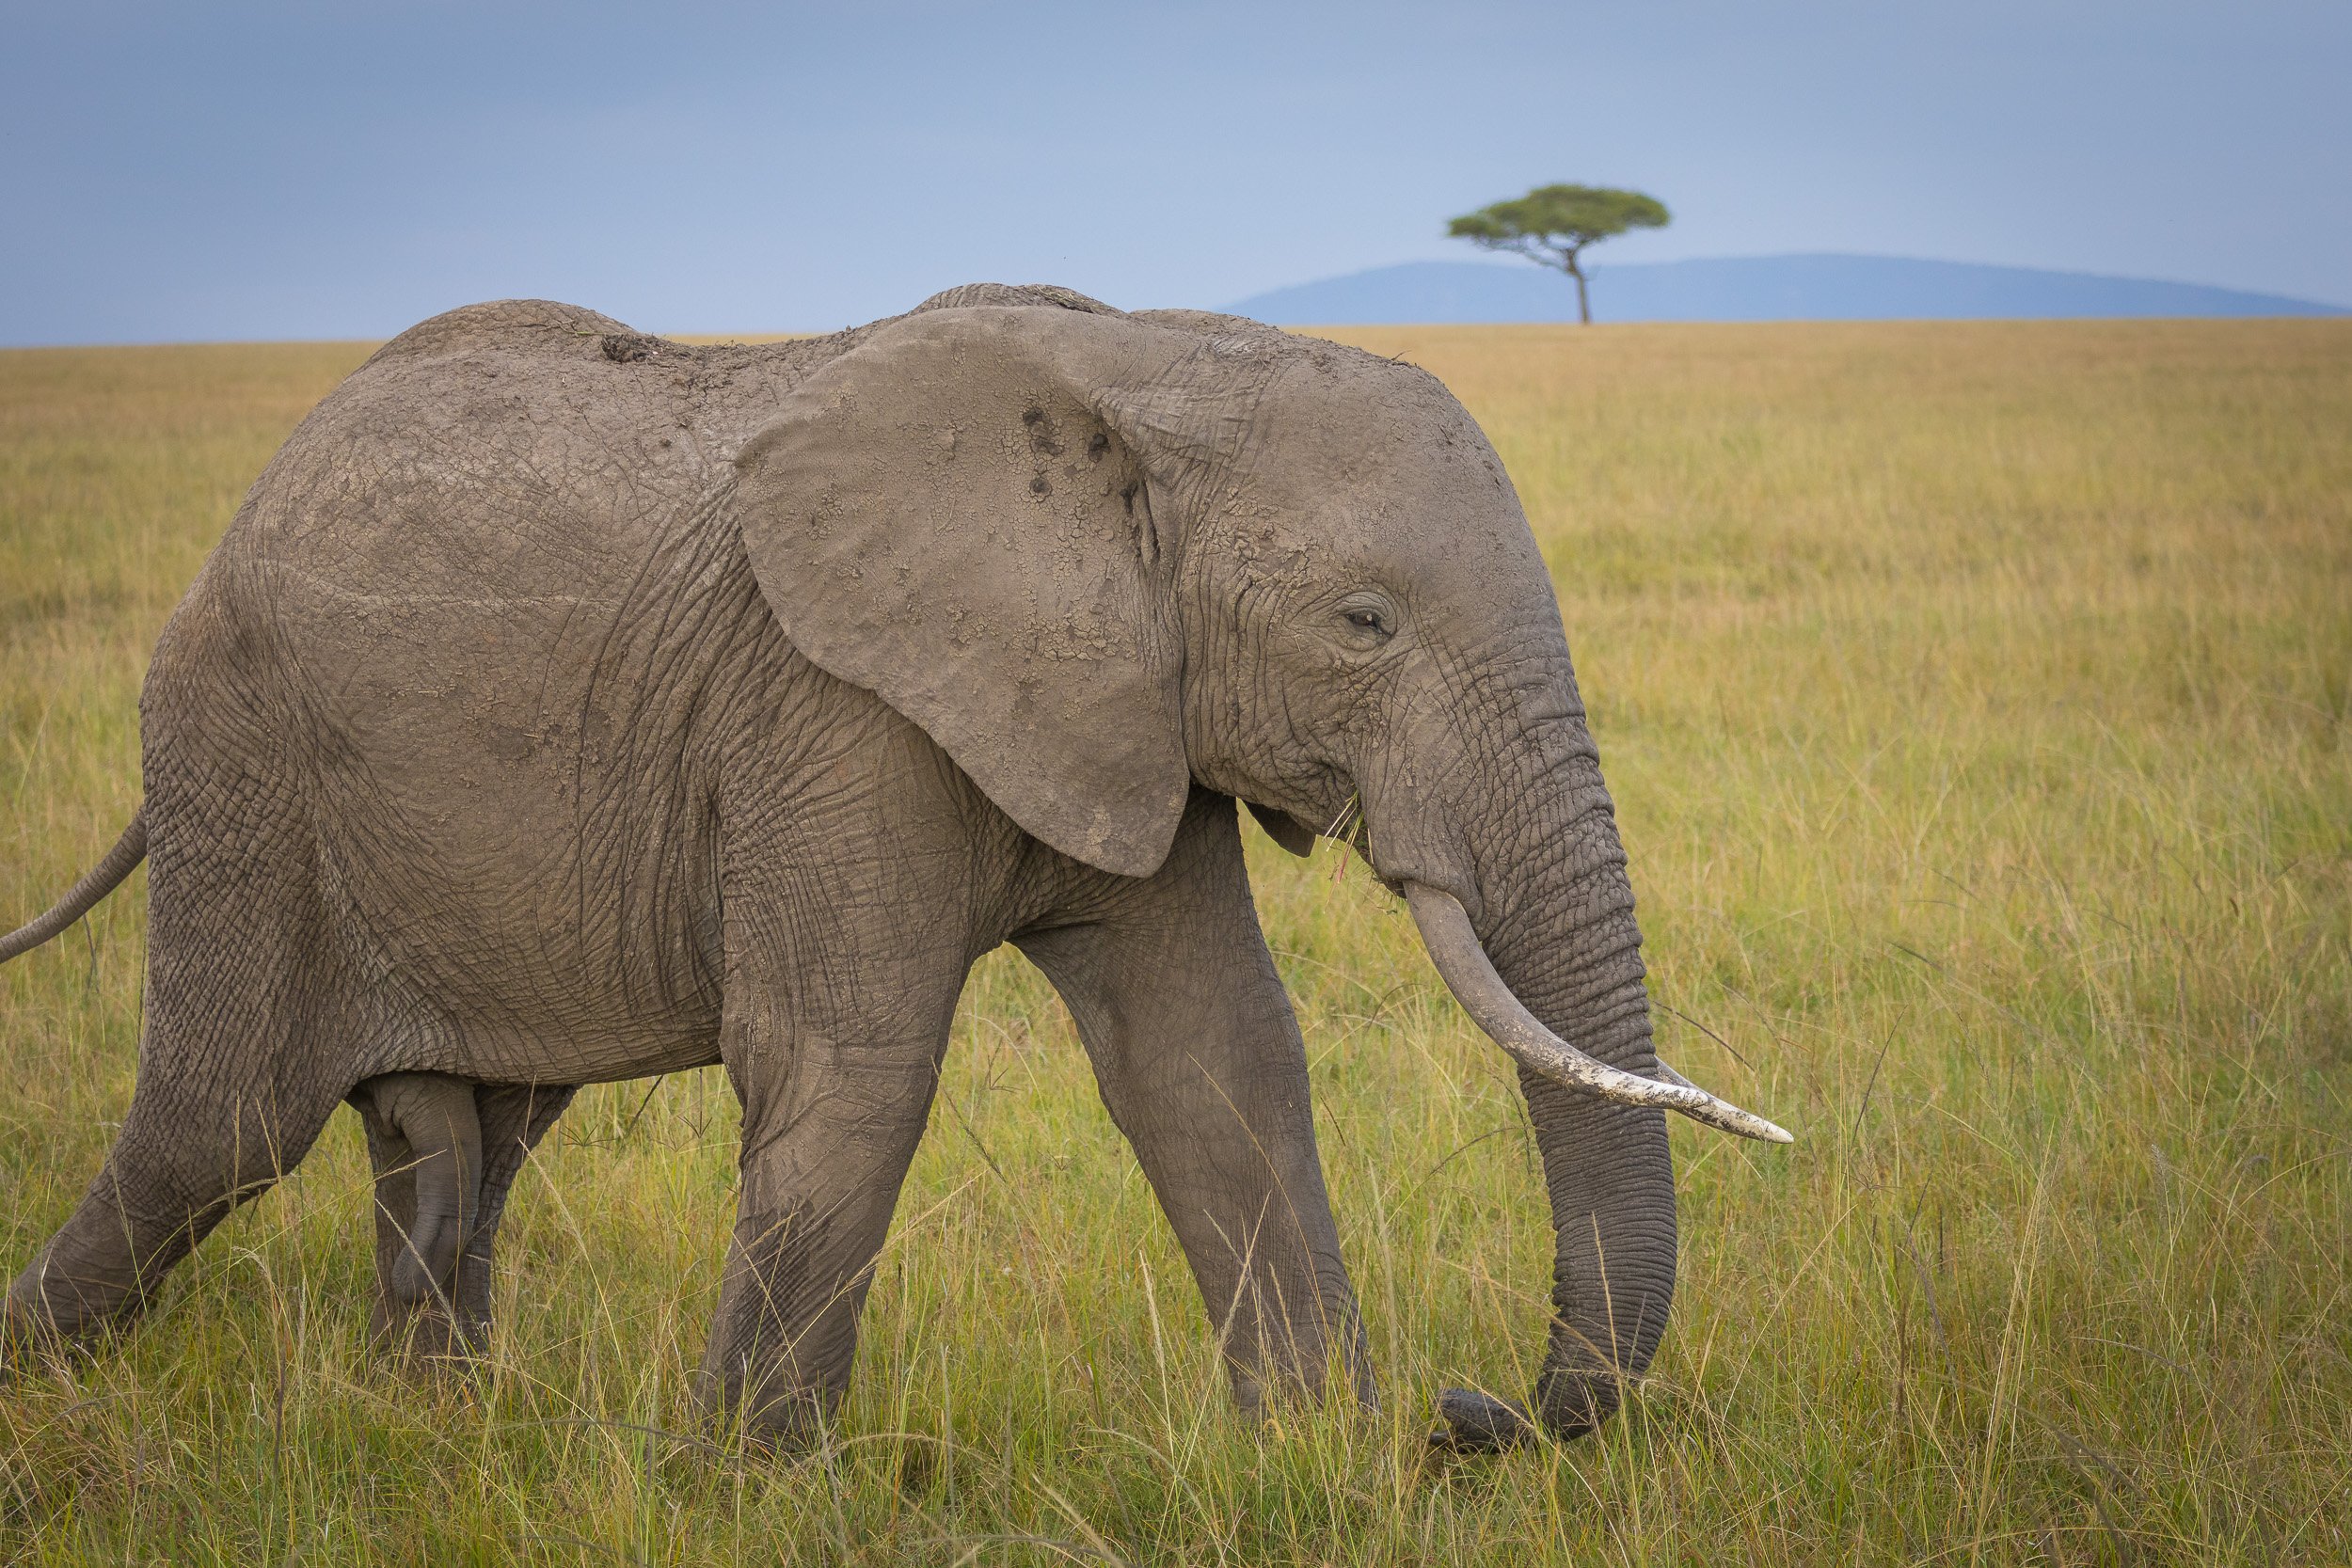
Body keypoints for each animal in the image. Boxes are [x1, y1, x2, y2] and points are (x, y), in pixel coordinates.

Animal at [1, 282, 1787, 1448]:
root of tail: (245, 508)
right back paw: (53, 1374)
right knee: (220, 1123)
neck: (1139, 358)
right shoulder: (833, 705)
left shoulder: (1119, 702)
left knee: (471, 1134)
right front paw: (748, 1487)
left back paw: (433, 1421)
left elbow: (1213, 1057)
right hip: (238, 753)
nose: (1470, 1405)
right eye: (1364, 622)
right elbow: (851, 1063)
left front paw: (1316, 1456)